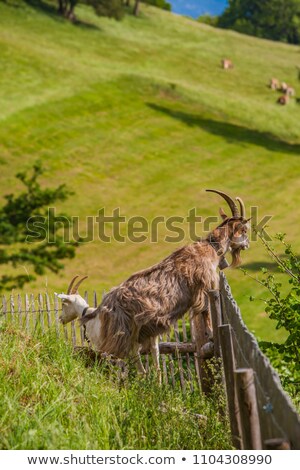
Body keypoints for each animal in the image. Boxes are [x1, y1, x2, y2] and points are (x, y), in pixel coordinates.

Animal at [56, 189, 248, 376]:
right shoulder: (204, 286)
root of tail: (105, 305)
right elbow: (205, 311)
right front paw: (211, 335)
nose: (246, 245)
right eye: (245, 229)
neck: (209, 249)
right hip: (123, 332)